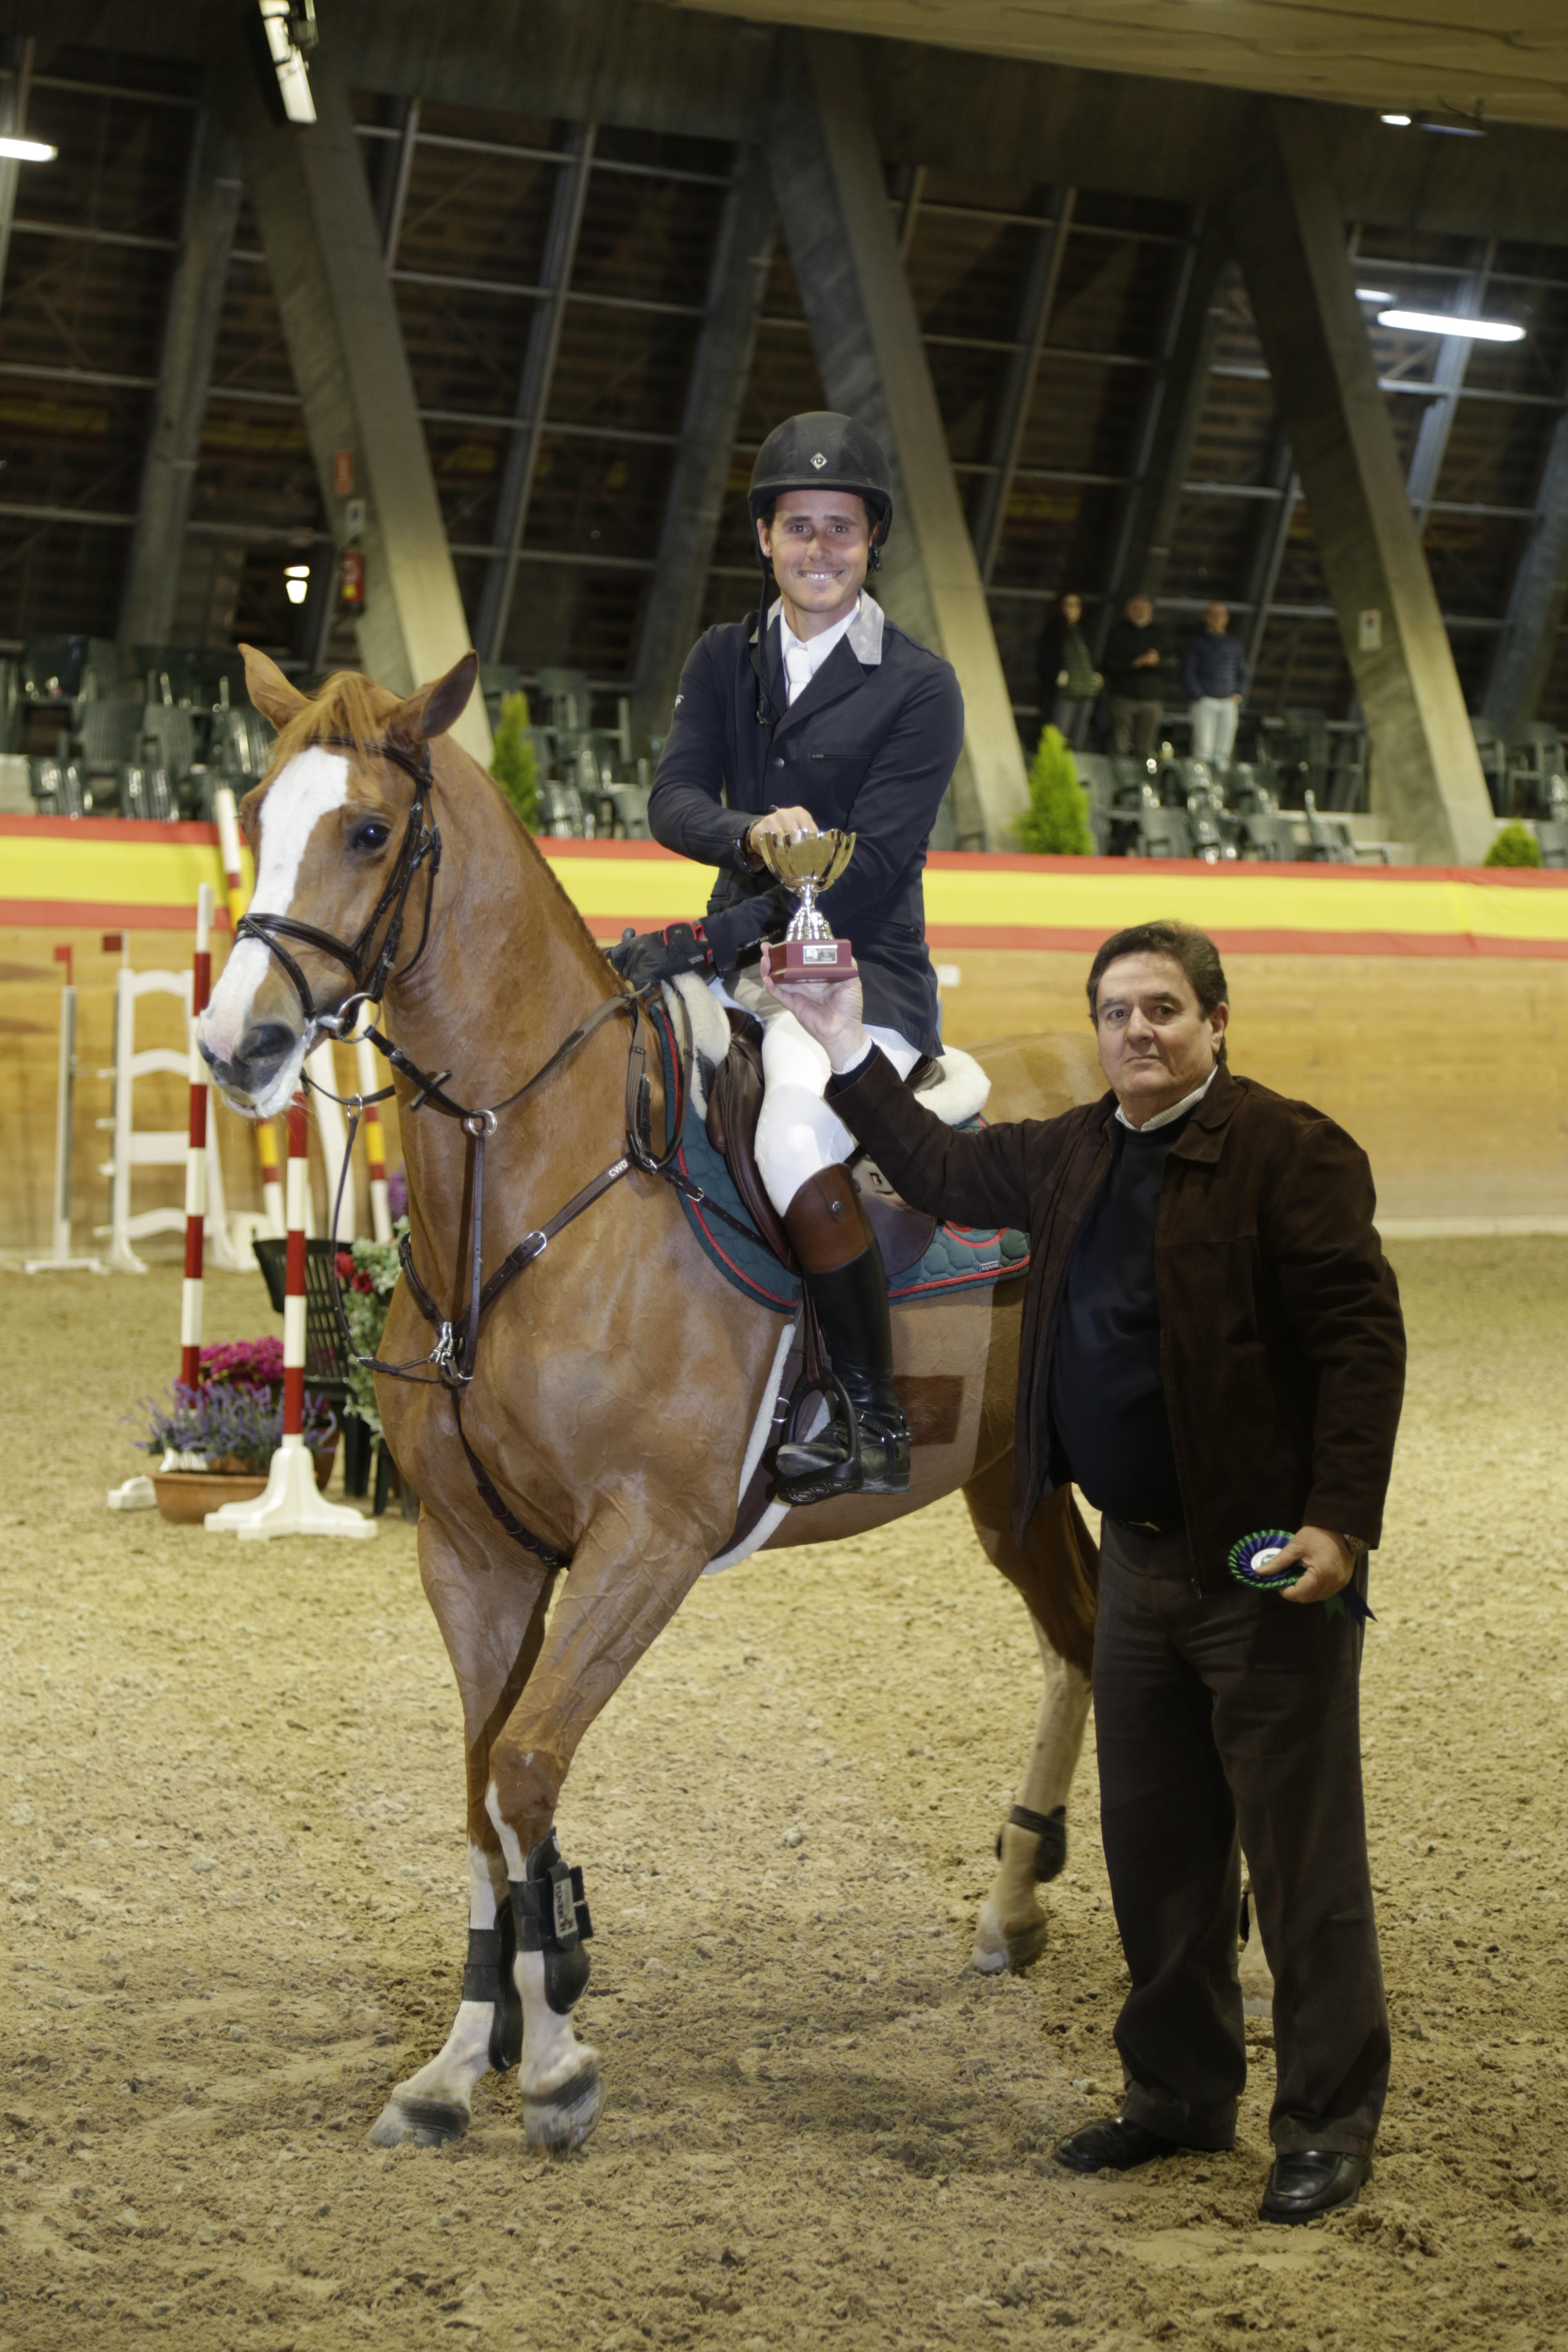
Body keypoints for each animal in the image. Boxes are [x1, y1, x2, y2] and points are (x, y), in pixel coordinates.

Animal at [200, 644, 1091, 2154]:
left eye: (369, 832)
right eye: (257, 812)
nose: (233, 1045)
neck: (527, 1181)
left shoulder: (647, 1541)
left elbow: (526, 1765)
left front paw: (555, 2055)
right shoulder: (477, 1554)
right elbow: (482, 1792)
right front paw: (467, 2054)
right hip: (1007, 1486)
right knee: (1078, 1646)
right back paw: (1014, 1909)